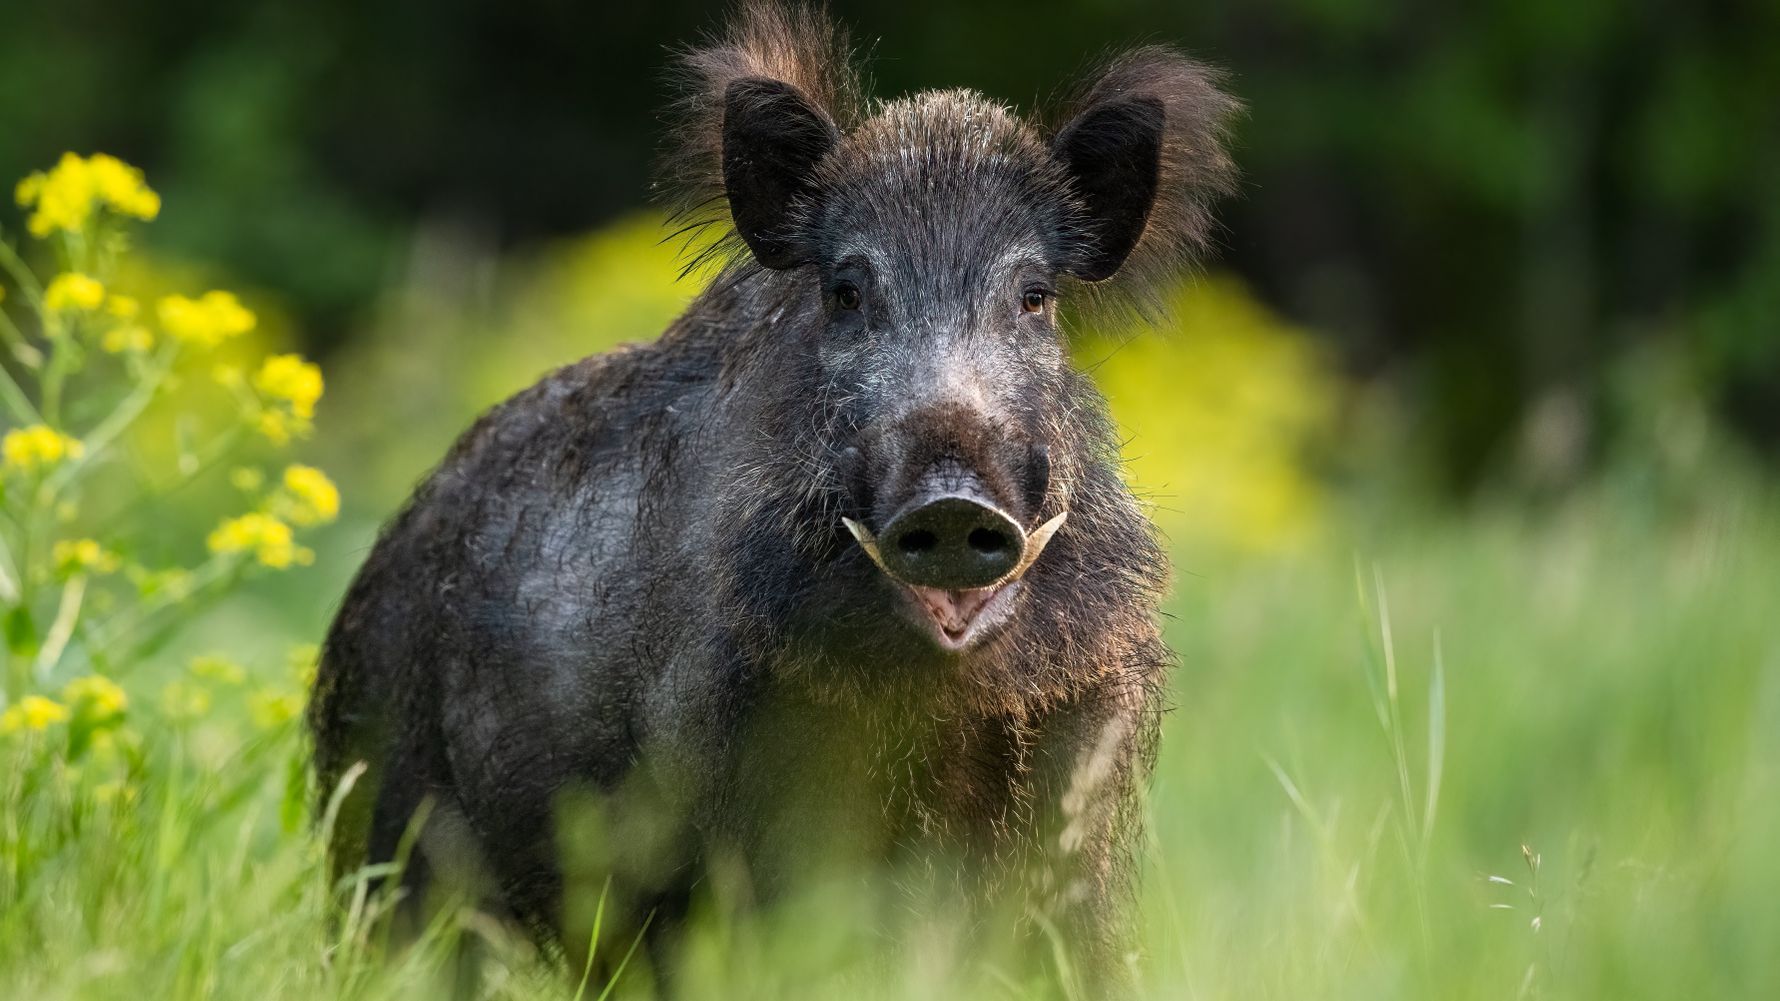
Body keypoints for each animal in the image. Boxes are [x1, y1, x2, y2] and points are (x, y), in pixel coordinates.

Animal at [309, 1, 1237, 990]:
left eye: (1034, 298)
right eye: (846, 292)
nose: (952, 504)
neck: (938, 711)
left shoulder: (1081, 781)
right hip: (382, 817)